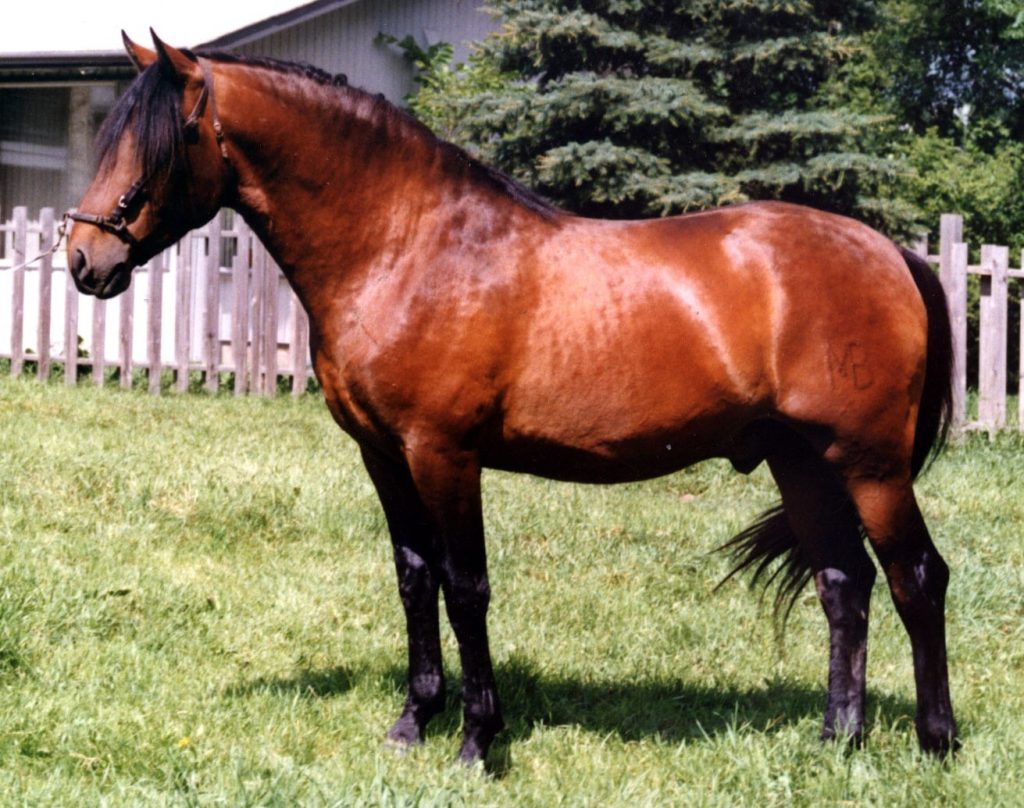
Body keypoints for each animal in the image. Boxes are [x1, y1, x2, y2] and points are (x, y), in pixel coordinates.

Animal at [67, 31, 957, 765]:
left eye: (159, 144)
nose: (82, 260)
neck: (407, 247)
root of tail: (891, 253)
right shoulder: (383, 454)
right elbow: (415, 578)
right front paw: (412, 724)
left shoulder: (444, 453)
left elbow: (467, 588)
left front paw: (476, 741)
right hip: (800, 461)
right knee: (843, 582)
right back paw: (837, 739)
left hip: (870, 465)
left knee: (916, 576)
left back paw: (934, 741)